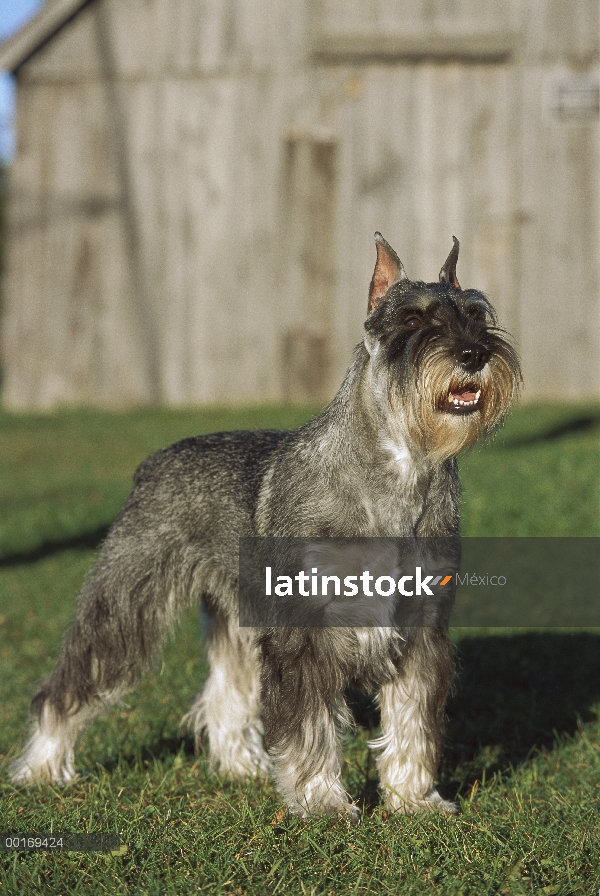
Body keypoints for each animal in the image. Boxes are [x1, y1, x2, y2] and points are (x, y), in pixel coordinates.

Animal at [11, 236, 524, 820]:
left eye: (478, 316)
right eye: (412, 319)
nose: (474, 354)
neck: (400, 473)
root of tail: (152, 464)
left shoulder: (421, 631)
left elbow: (413, 724)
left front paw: (415, 799)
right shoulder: (303, 636)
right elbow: (311, 729)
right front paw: (323, 803)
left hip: (236, 614)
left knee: (227, 694)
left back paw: (242, 767)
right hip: (125, 604)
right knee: (68, 686)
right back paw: (41, 768)